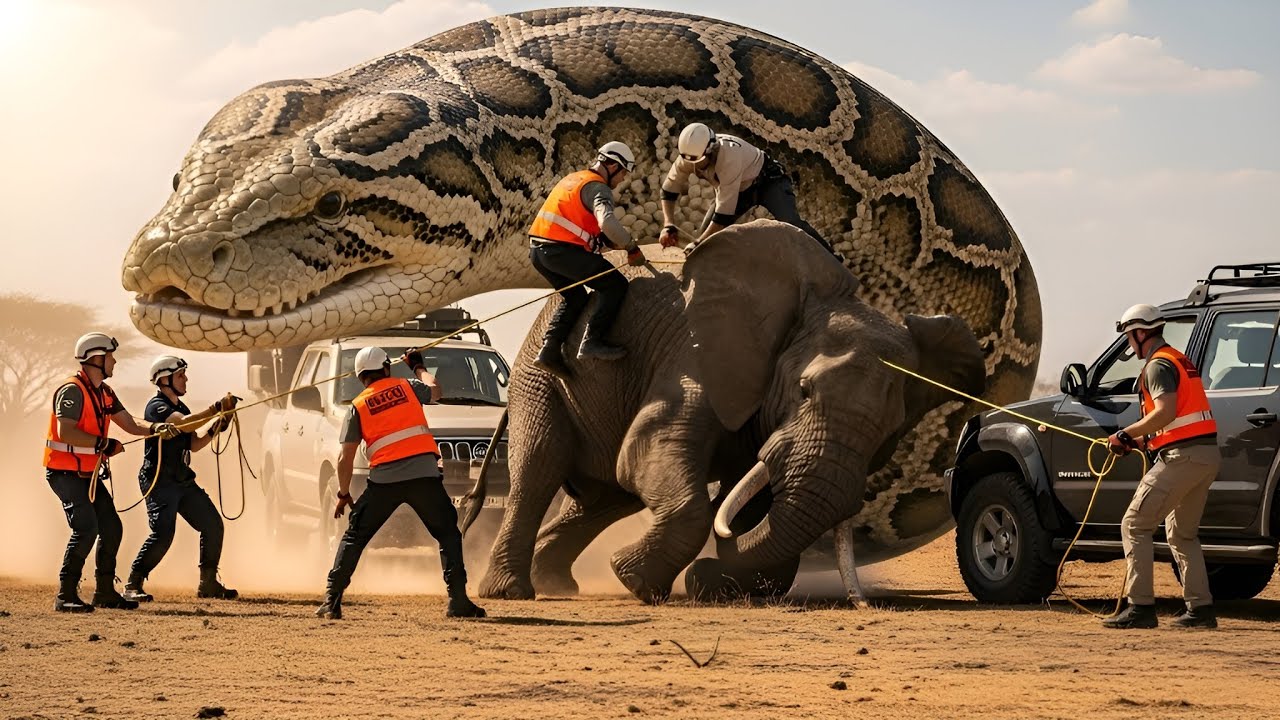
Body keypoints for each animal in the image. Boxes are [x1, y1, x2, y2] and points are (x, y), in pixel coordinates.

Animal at [475, 220, 986, 604]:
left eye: (891, 431)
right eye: (804, 391)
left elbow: (749, 495)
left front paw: (708, 583)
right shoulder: (697, 355)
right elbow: (647, 451)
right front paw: (635, 580)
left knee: (603, 497)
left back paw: (555, 583)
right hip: (538, 374)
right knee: (540, 468)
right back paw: (511, 592)